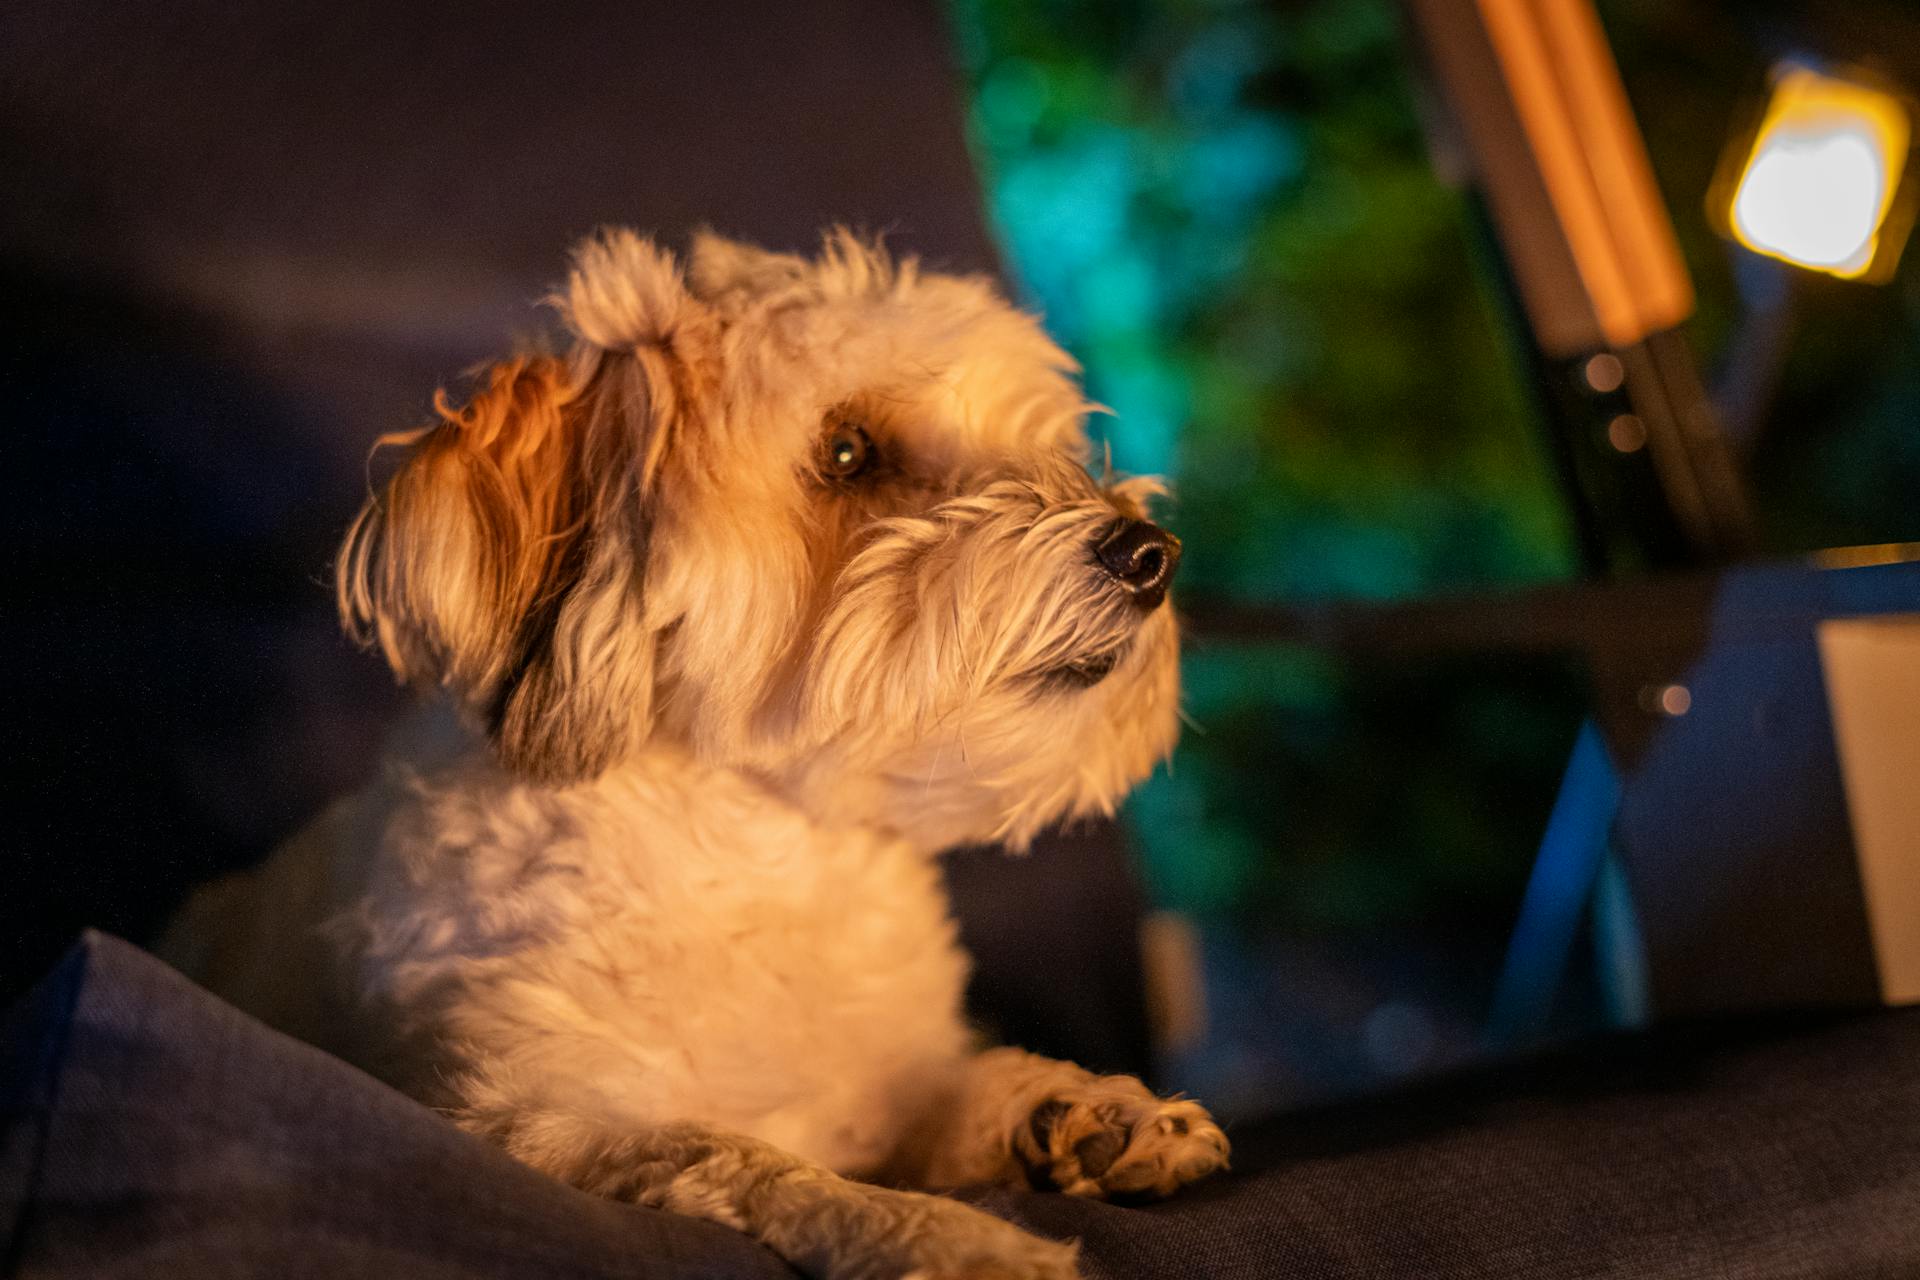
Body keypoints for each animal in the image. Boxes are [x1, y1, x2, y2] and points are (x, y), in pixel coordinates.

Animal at [165, 233, 1221, 1280]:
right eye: (847, 451)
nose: (1150, 553)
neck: (768, 856)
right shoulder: (531, 1123)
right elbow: (753, 1159)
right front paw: (958, 1237)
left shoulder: (887, 1101)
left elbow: (958, 1089)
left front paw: (1085, 1112)